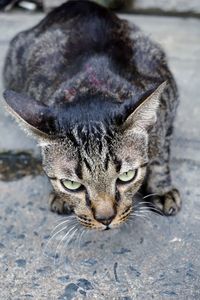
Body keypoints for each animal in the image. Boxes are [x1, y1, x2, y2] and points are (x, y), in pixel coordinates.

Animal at [2, 0, 181, 231]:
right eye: (71, 185)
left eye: (127, 176)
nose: (105, 218)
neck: (92, 87)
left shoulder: (168, 104)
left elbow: (160, 155)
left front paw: (161, 189)